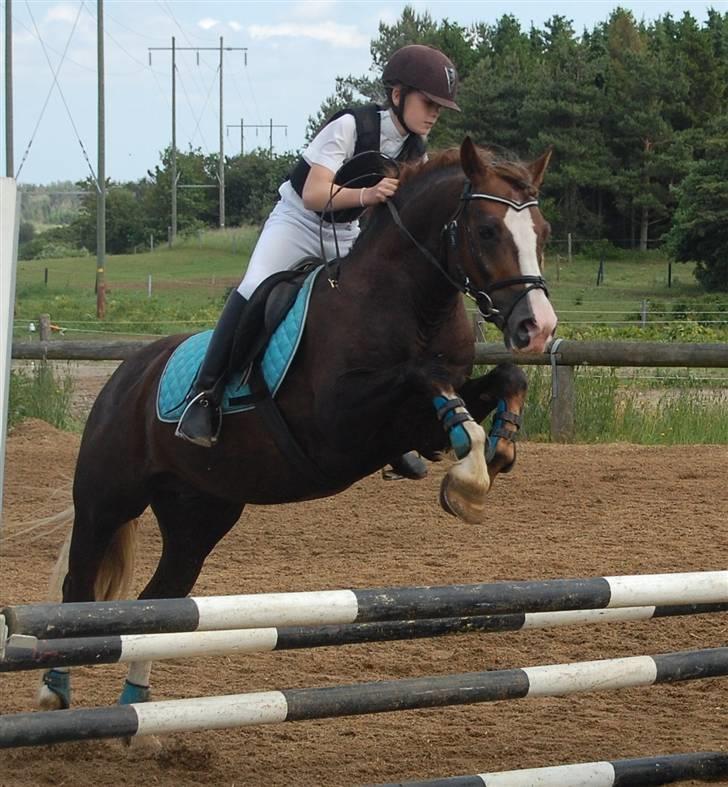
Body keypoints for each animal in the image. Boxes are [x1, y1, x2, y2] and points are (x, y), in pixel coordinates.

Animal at [37, 139, 556, 712]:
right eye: (486, 230)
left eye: (543, 233)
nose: (538, 327)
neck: (410, 302)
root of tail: (126, 373)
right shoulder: (338, 424)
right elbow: (423, 376)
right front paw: (469, 478)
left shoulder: (414, 425)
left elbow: (503, 380)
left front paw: (493, 456)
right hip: (108, 499)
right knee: (77, 590)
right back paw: (55, 691)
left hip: (199, 511)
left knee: (161, 605)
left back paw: (135, 705)